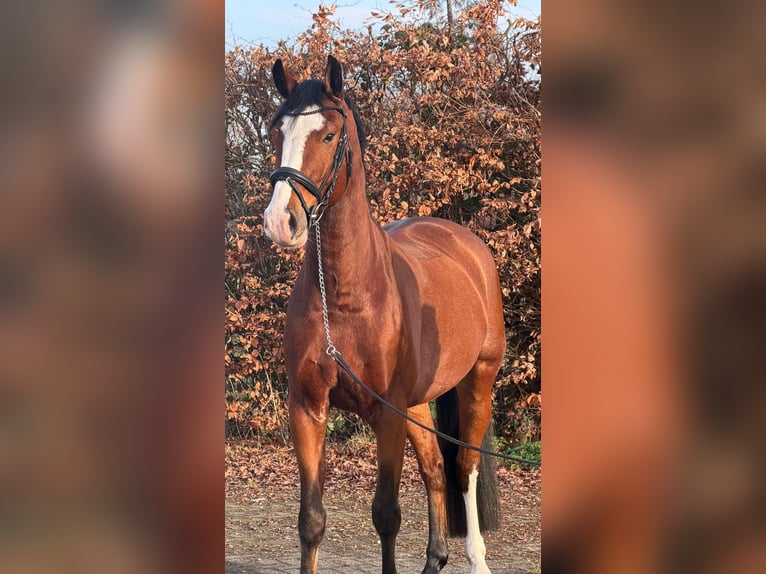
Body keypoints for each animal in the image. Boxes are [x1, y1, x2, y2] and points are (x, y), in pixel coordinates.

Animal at [263, 55, 507, 574]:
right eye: (277, 132)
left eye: (329, 135)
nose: (280, 222)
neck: (345, 299)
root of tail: (465, 241)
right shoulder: (307, 408)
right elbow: (311, 520)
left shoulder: (386, 415)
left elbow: (387, 515)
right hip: (416, 402)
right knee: (435, 468)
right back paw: (435, 558)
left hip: (478, 379)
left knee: (464, 467)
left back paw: (476, 558)